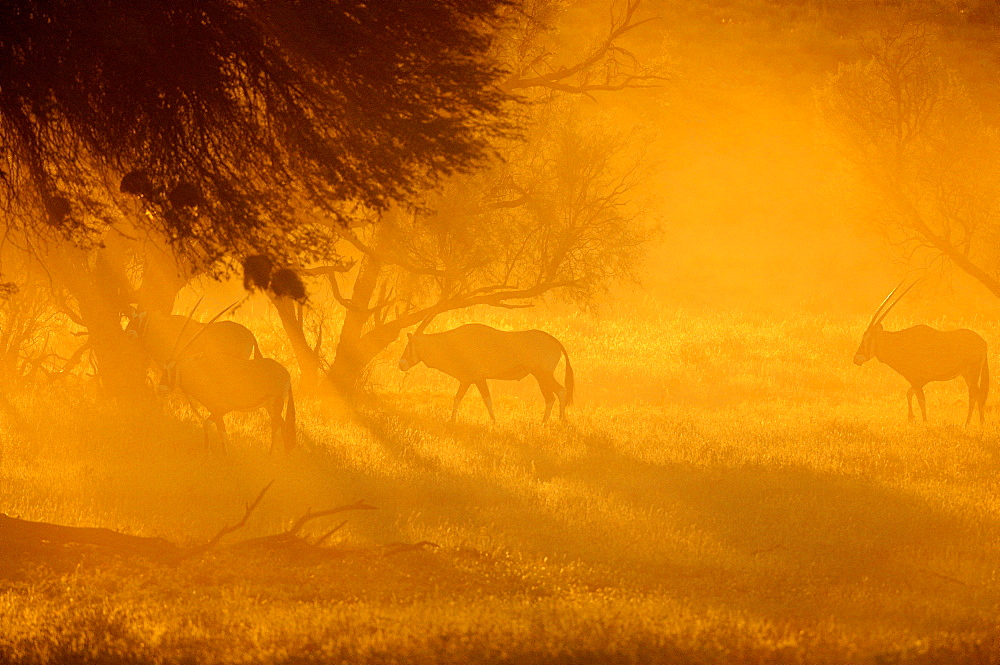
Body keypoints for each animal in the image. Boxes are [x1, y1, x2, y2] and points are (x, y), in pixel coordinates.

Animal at [396, 324, 572, 422]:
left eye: (408, 345)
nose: (401, 364)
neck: (451, 343)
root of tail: (555, 341)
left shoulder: (479, 379)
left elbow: (487, 400)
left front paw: (494, 422)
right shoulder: (466, 380)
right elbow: (457, 398)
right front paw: (452, 421)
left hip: (542, 375)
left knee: (557, 393)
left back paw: (552, 422)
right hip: (542, 376)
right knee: (555, 394)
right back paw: (552, 422)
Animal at [856, 282, 988, 422]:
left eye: (868, 338)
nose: (856, 359)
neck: (899, 343)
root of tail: (983, 342)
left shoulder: (918, 381)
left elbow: (920, 401)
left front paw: (922, 421)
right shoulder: (917, 382)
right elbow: (910, 393)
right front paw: (912, 417)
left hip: (972, 372)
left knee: (975, 394)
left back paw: (970, 424)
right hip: (966, 374)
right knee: (976, 394)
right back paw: (978, 423)